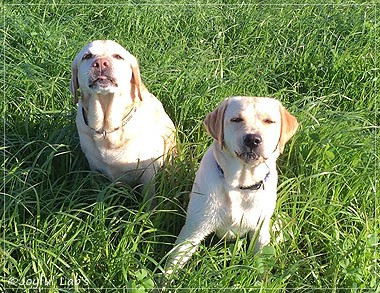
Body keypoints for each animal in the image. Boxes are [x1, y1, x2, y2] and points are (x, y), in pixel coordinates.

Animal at [70, 40, 176, 193]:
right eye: (87, 56)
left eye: (118, 56)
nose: (101, 63)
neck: (106, 130)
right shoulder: (95, 171)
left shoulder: (148, 174)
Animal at [166, 96, 300, 274]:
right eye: (236, 119)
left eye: (269, 121)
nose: (253, 140)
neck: (240, 184)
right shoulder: (193, 230)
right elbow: (171, 265)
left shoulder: (260, 231)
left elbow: (262, 267)